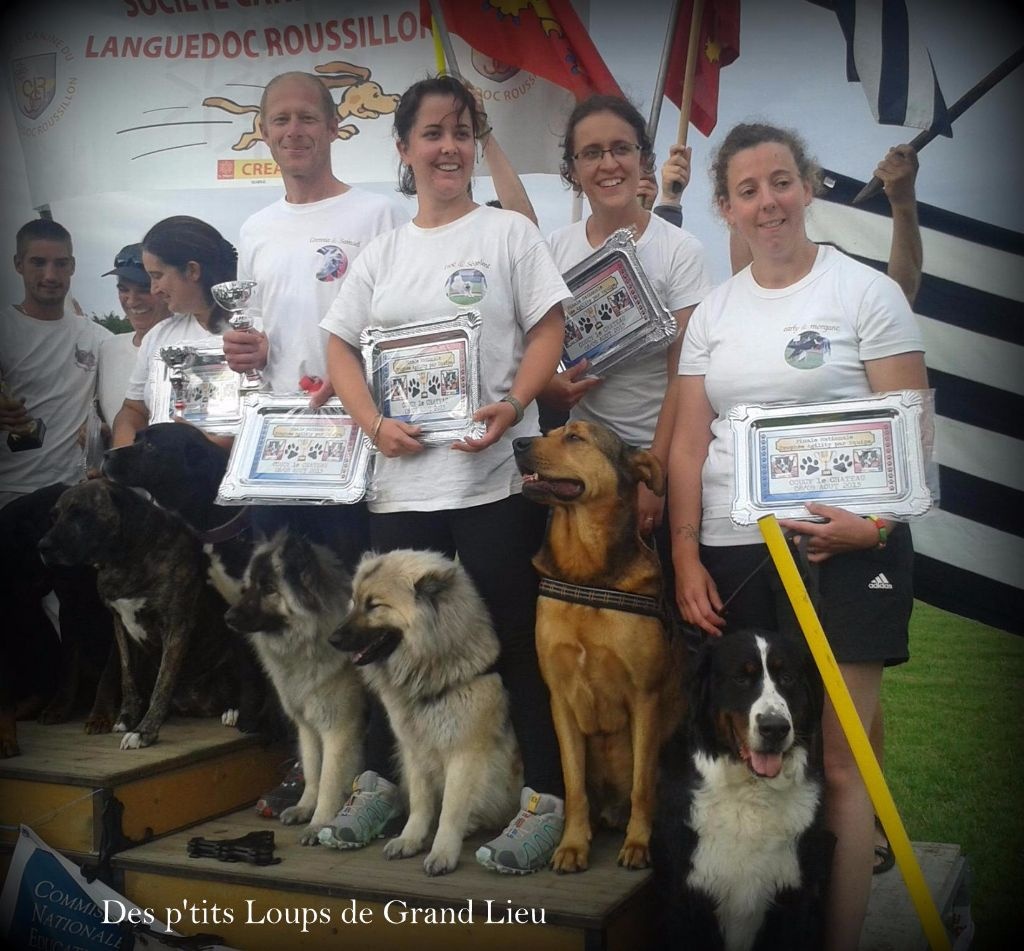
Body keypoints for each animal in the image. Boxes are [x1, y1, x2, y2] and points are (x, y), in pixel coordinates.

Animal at [331, 548, 520, 876]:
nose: (332, 638)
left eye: (374, 605)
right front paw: (410, 839)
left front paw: (443, 852)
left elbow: (450, 811)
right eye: (354, 601)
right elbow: (421, 802)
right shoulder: (414, 750)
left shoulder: (464, 754)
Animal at [512, 423, 688, 876]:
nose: (517, 442)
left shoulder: (645, 697)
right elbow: (573, 787)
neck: (586, 573)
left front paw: (638, 844)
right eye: (550, 430)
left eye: (575, 437)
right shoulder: (560, 699)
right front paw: (572, 845)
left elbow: (642, 785)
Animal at [651, 630, 835, 949]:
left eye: (787, 678)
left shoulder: (796, 902)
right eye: (740, 678)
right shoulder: (683, 901)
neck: (752, 793)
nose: (775, 728)